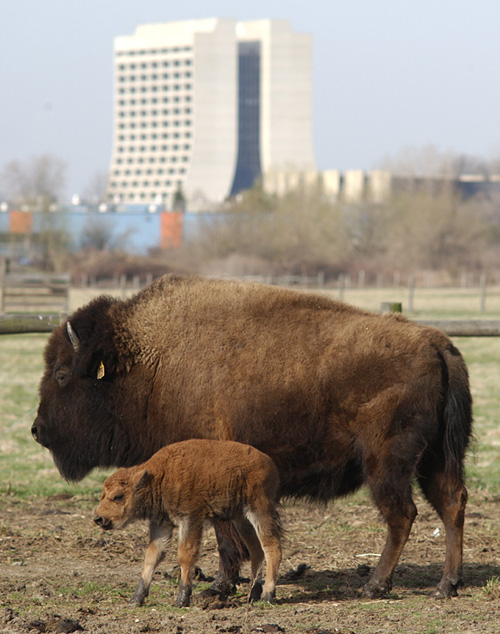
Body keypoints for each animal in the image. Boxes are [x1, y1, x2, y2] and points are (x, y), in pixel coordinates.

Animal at [92, 436, 284, 604]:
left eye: (118, 496)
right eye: (102, 495)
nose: (98, 518)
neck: (158, 477)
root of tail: (271, 465)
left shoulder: (190, 519)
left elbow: (185, 554)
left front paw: (182, 599)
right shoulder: (161, 524)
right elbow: (152, 556)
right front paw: (135, 600)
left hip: (259, 511)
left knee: (272, 547)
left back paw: (267, 596)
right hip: (240, 519)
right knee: (256, 550)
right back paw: (254, 594)